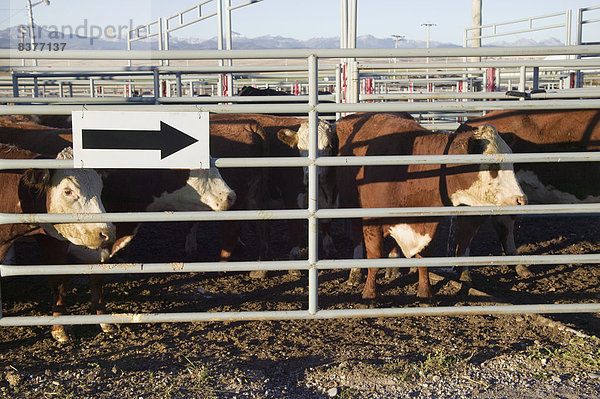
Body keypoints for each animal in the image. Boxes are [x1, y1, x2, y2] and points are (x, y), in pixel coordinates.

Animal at [336, 112, 528, 300]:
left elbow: (425, 258)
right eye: (493, 166)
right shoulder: (372, 222)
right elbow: (374, 259)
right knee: (357, 236)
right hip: (351, 203)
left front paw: (425, 294)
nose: (521, 199)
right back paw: (355, 273)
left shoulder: (429, 222)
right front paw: (369, 295)